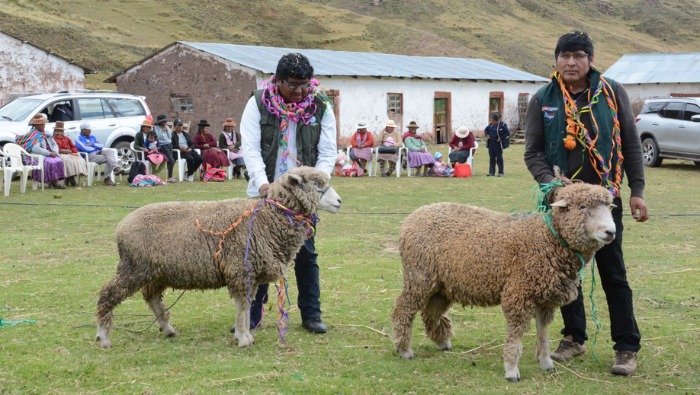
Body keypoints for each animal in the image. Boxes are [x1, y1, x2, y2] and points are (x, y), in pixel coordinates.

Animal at [95, 167, 342, 350]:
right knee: (108, 294)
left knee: (152, 297)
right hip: (133, 267)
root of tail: (121, 226)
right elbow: (242, 306)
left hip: (155, 271)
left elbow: (246, 305)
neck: (266, 218)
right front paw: (243, 338)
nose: (339, 202)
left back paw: (167, 328)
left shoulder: (249, 273)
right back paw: (103, 337)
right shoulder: (240, 269)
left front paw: (244, 334)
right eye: (317, 186)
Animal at [392, 181, 616, 382]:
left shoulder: (545, 300)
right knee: (404, 309)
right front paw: (511, 370)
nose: (611, 232)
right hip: (419, 275)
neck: (547, 239)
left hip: (442, 284)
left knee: (431, 311)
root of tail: (413, 216)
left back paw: (442, 342)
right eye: (582, 207)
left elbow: (543, 335)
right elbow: (515, 338)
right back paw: (404, 349)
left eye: (608, 207)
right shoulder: (518, 295)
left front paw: (546, 363)